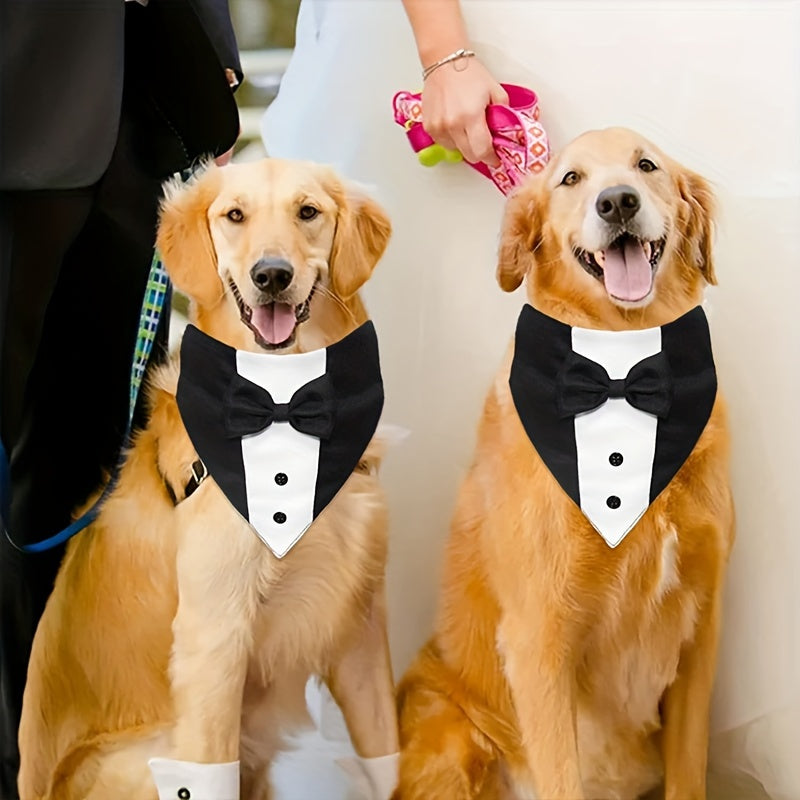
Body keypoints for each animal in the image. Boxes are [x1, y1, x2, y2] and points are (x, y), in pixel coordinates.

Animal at [19, 159, 404, 800]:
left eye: (308, 212)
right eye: (234, 215)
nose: (271, 275)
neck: (284, 402)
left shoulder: (361, 622)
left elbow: (389, 760)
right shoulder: (215, 636)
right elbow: (210, 770)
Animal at [390, 130, 736, 800]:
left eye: (646, 165)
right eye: (570, 179)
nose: (618, 201)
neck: (623, 370)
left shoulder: (701, 631)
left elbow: (689, 770)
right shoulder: (540, 637)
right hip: (452, 731)